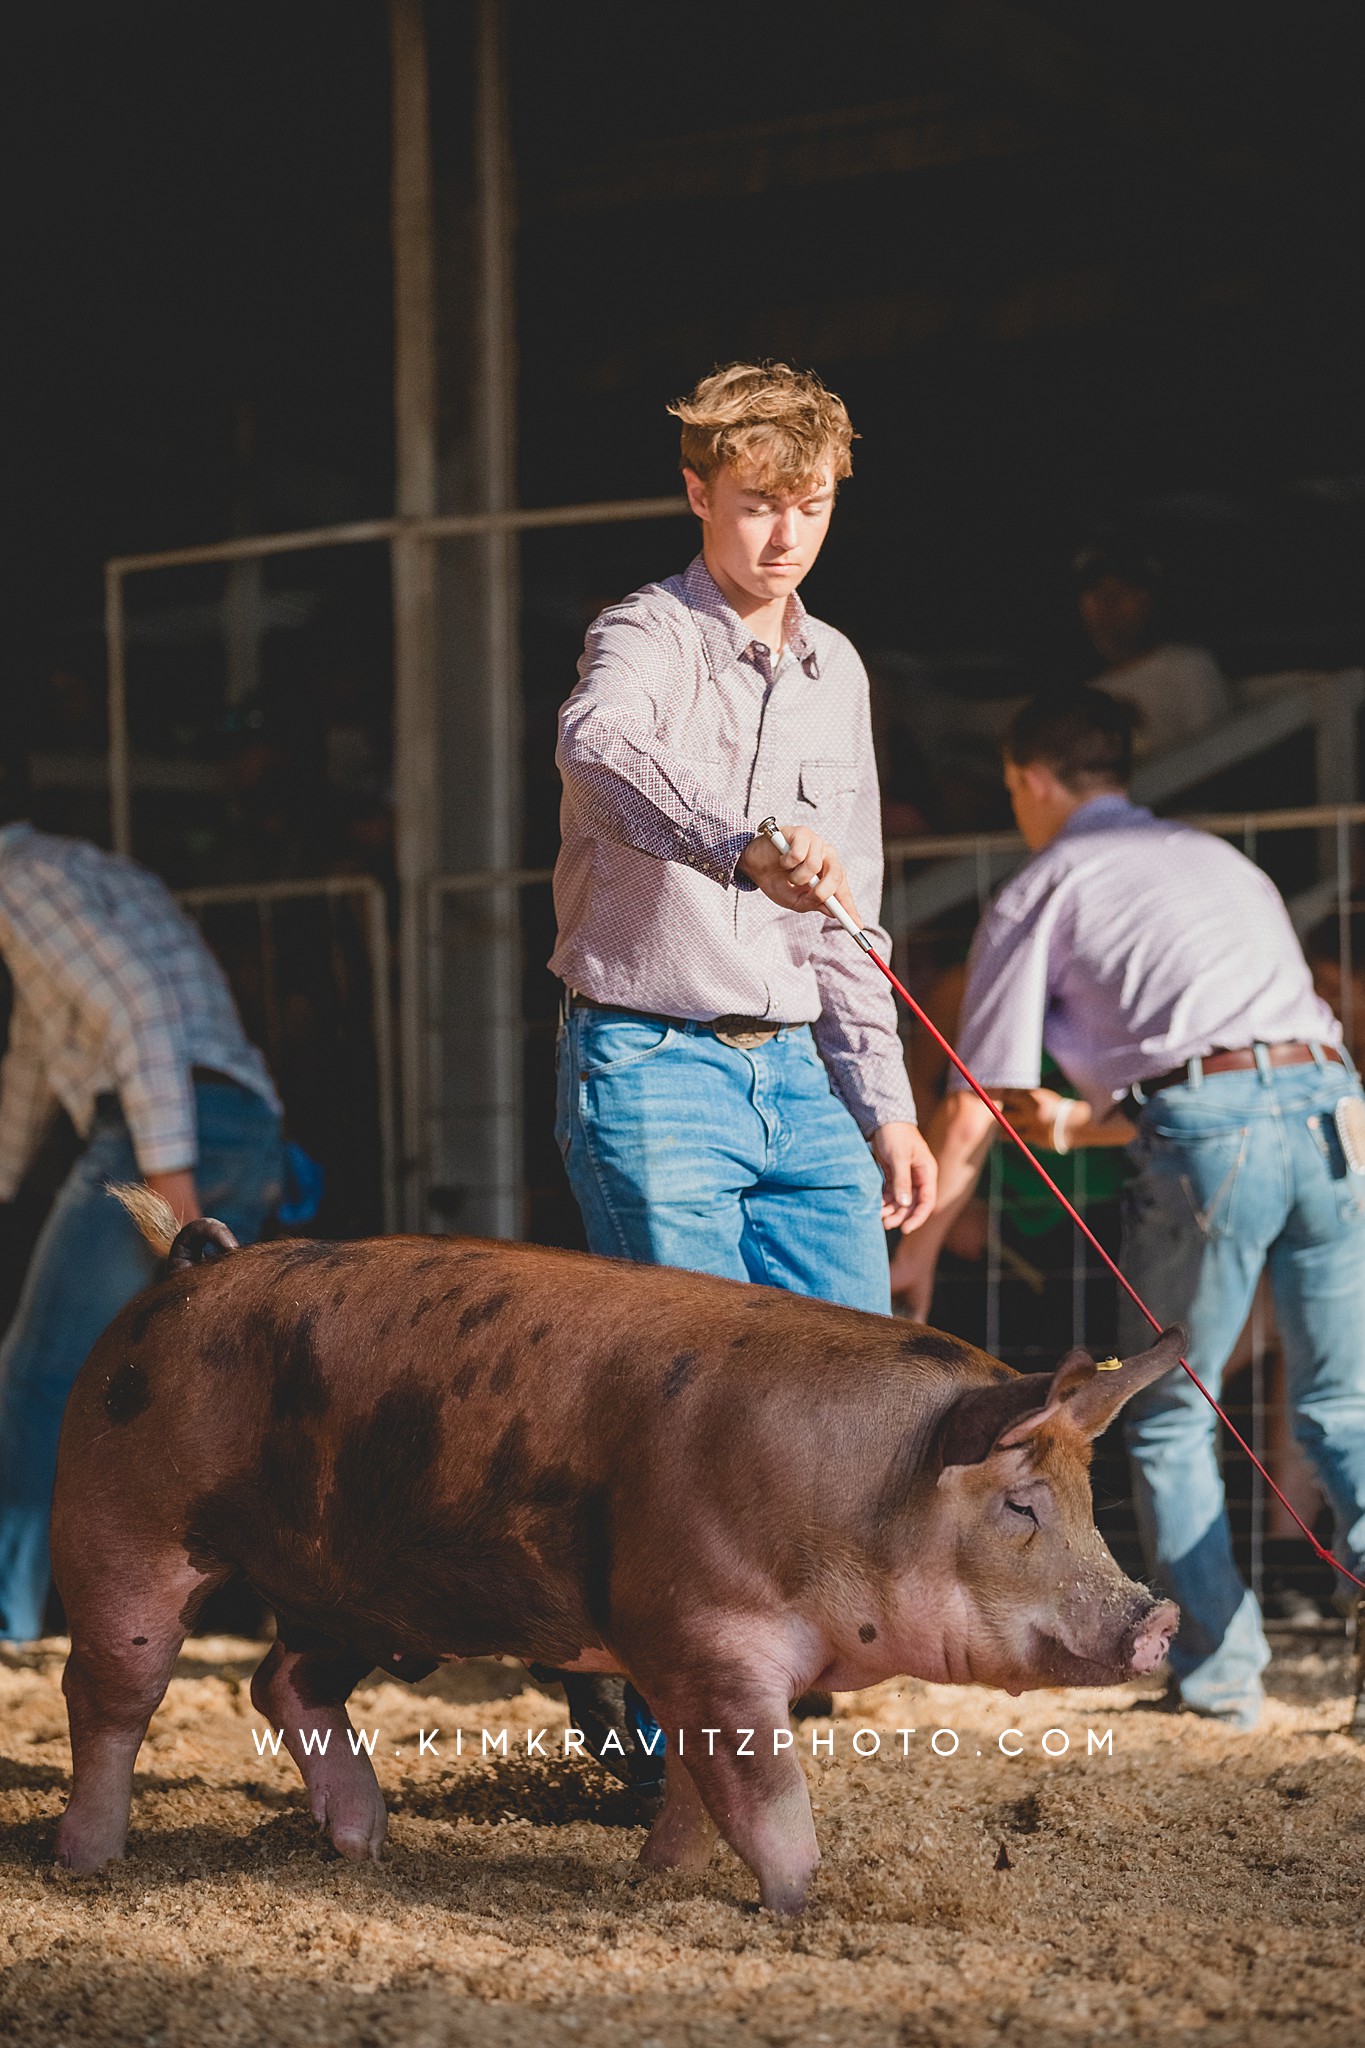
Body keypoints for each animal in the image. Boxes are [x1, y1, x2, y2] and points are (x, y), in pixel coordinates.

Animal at [50, 1196, 1186, 1908]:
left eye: (1085, 1500)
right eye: (1022, 1504)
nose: (1157, 1616)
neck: (849, 1493)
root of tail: (182, 1268)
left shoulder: (681, 1657)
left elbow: (696, 1783)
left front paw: (660, 1884)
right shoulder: (703, 1632)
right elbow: (763, 1790)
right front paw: (803, 1903)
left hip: (354, 1587)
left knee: (283, 1683)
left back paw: (365, 1847)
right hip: (123, 1525)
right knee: (112, 1693)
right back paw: (87, 1862)